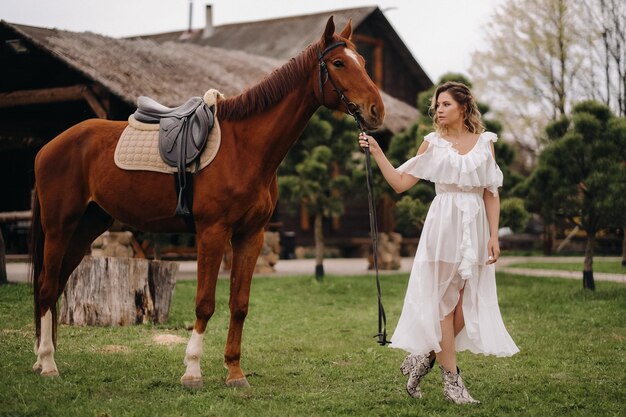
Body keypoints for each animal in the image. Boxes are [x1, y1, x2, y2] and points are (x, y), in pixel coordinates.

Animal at [31, 16, 382, 386]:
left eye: (363, 62)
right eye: (339, 63)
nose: (377, 111)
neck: (244, 147)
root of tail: (48, 147)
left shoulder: (250, 236)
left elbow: (239, 304)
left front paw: (235, 371)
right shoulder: (212, 233)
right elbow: (205, 302)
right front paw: (192, 370)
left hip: (86, 228)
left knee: (54, 287)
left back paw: (42, 360)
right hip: (59, 228)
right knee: (46, 287)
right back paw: (48, 364)